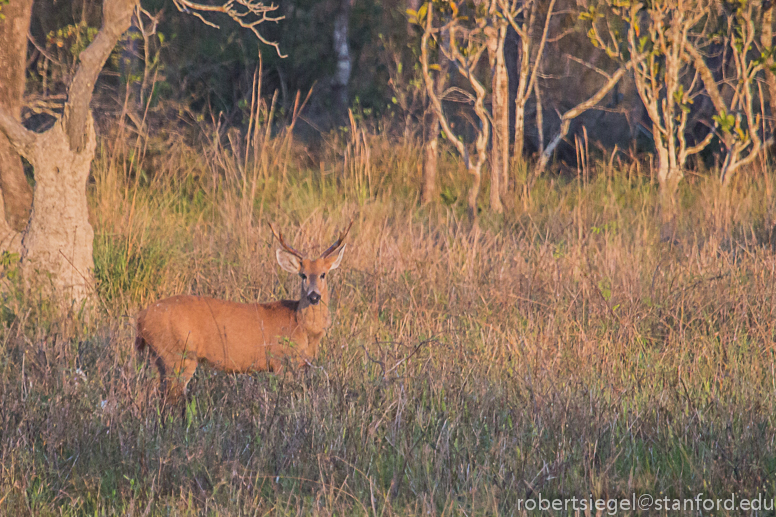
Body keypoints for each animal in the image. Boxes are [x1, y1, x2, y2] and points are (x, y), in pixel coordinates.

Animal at [135, 222, 350, 400]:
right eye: (303, 275)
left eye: (323, 274)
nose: (314, 296)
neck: (301, 326)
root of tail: (141, 317)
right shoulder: (281, 361)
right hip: (178, 354)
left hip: (159, 356)